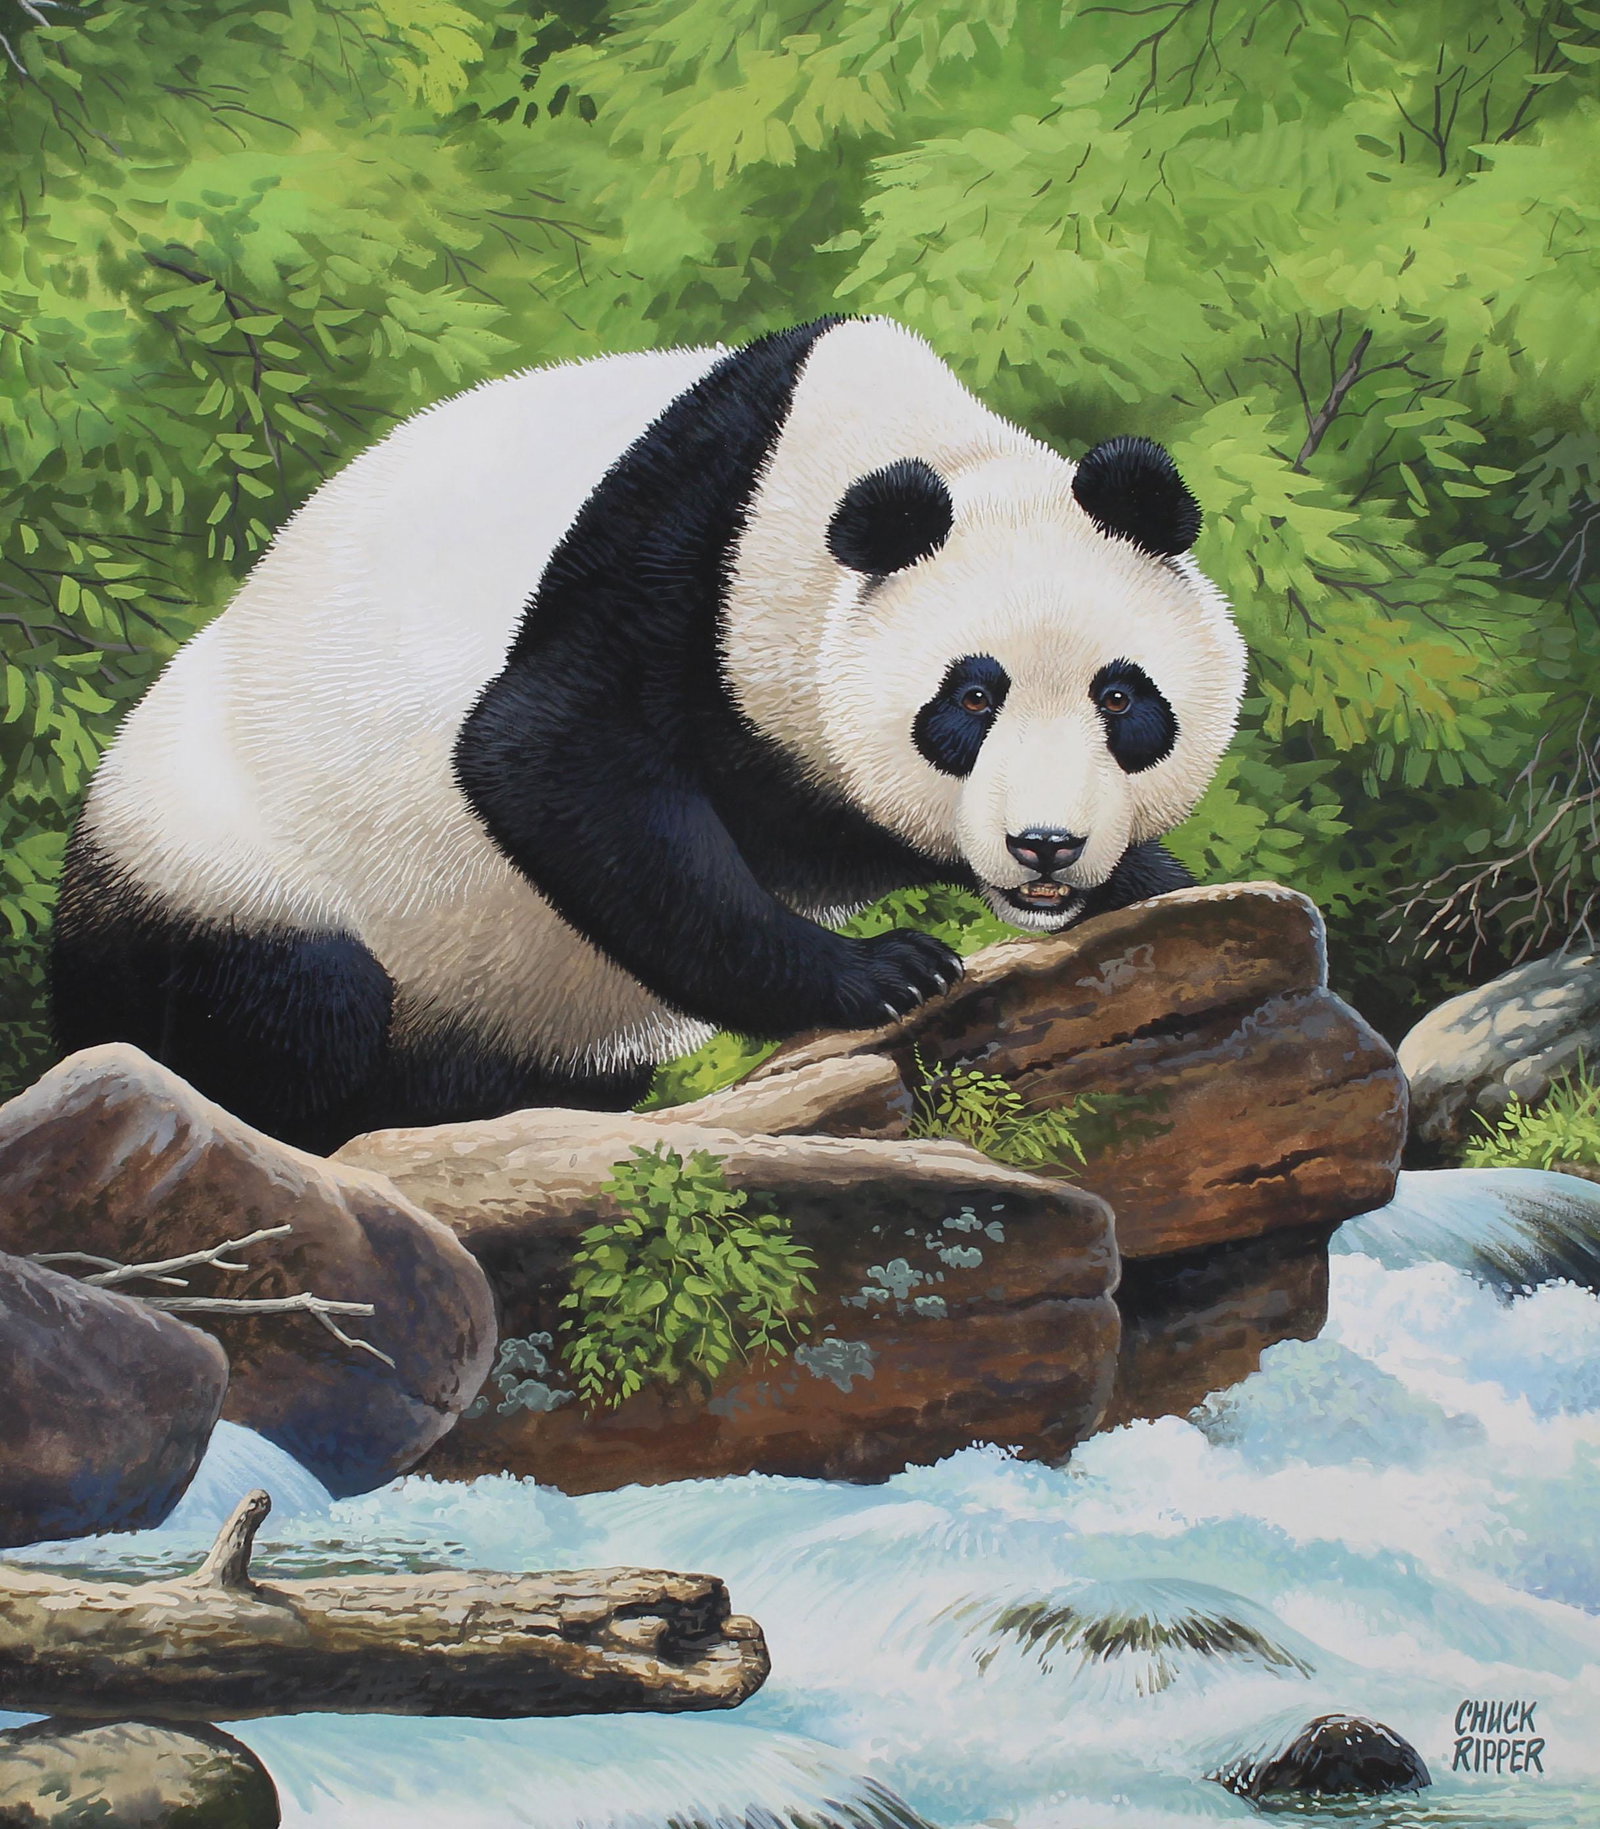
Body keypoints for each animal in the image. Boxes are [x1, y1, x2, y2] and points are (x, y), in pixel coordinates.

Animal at [52, 316, 1247, 1152]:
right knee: (292, 1006)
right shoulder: (679, 551)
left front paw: (1146, 874)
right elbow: (545, 758)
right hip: (216, 865)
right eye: (970, 700)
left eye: (1120, 699)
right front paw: (883, 972)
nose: (1045, 847)